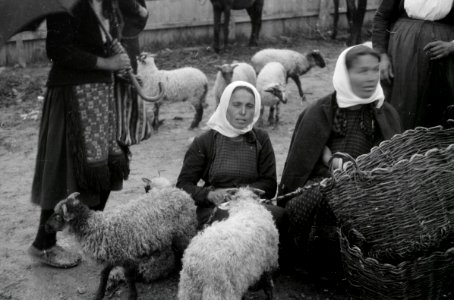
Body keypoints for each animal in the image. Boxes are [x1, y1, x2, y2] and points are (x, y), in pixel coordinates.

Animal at [45, 189, 199, 298]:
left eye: (58, 215)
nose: (45, 226)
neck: (96, 226)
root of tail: (183, 193)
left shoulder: (126, 256)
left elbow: (128, 277)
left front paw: (132, 296)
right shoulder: (113, 255)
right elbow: (104, 273)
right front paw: (99, 294)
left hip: (184, 232)